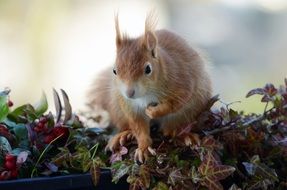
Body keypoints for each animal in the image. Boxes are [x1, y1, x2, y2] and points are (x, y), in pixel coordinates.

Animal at [89, 14, 213, 163]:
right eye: (114, 71)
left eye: (148, 69)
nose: (129, 93)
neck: (146, 95)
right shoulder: (130, 106)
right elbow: (139, 127)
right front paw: (143, 147)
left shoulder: (182, 81)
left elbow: (176, 102)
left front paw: (153, 111)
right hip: (117, 107)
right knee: (128, 126)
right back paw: (123, 135)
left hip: (191, 110)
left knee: (175, 127)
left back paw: (184, 135)